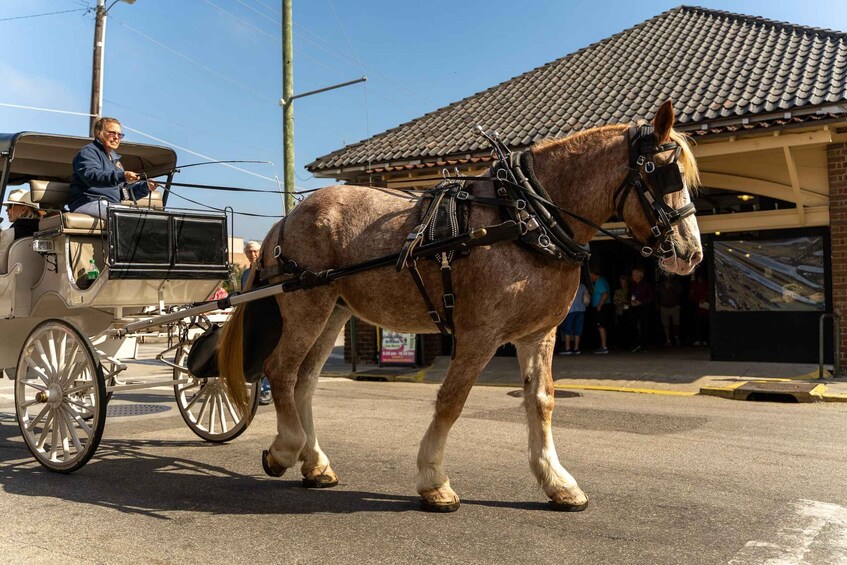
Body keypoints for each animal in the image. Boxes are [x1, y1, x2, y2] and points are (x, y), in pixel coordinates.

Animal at [217, 100, 704, 512]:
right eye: (664, 174)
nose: (691, 253)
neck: (526, 218)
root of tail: (288, 217)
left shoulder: (538, 334)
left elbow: (541, 401)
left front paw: (557, 482)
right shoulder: (480, 334)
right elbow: (452, 400)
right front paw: (434, 480)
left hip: (334, 310)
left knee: (305, 382)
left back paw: (315, 462)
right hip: (306, 304)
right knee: (281, 371)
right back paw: (285, 449)